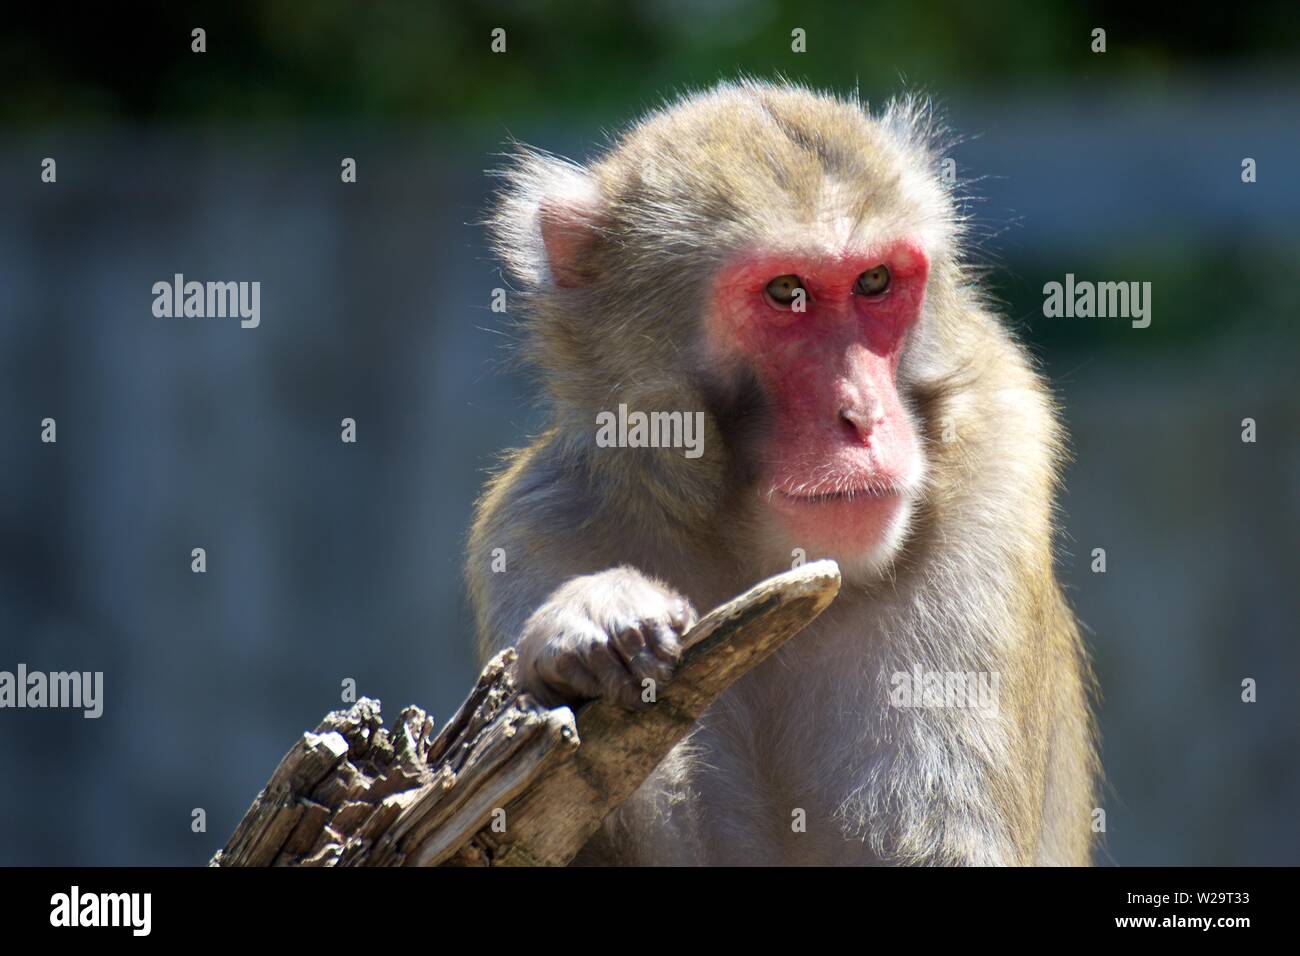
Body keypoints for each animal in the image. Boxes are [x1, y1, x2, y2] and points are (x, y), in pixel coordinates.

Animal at [467, 78, 1097, 863]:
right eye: (785, 292)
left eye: (875, 280)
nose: (862, 415)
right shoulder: (537, 527)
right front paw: (589, 621)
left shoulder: (996, 484)